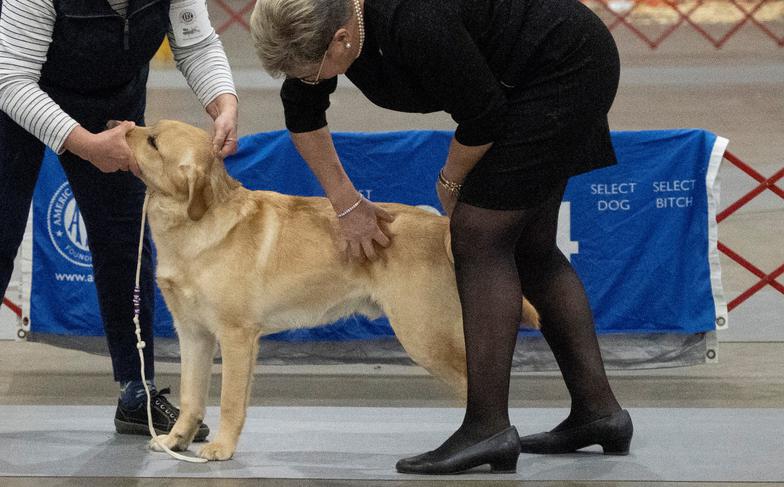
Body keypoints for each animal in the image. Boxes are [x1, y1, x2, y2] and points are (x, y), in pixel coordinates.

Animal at [125, 121, 540, 462]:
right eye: (149, 129)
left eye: (152, 141)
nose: (120, 125)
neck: (193, 227)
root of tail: (441, 225)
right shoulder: (193, 333)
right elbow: (191, 397)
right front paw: (177, 441)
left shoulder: (236, 336)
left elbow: (229, 401)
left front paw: (222, 448)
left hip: (424, 335)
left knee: (480, 386)